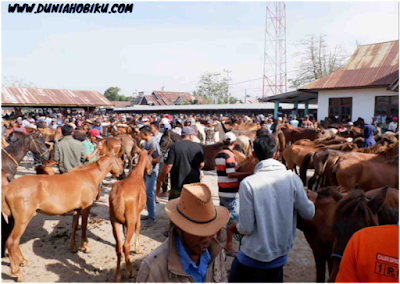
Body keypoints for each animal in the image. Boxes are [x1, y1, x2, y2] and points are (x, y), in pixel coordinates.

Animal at [108, 149, 154, 282]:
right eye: (151, 159)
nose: (151, 171)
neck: (137, 174)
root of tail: (119, 195)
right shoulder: (137, 214)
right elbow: (139, 227)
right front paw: (138, 248)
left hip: (114, 222)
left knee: (119, 247)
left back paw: (117, 276)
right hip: (130, 220)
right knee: (125, 245)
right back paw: (130, 272)